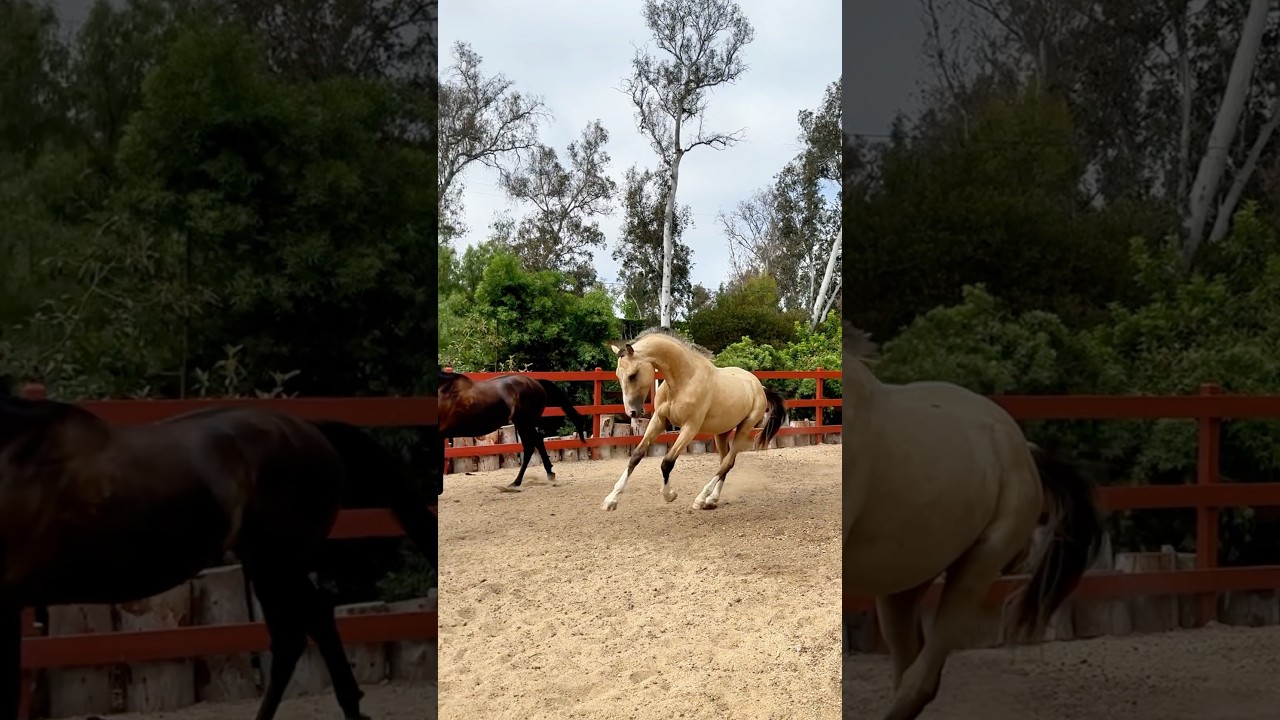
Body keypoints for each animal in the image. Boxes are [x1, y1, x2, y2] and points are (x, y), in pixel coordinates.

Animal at [437, 370, 590, 492]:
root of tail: (535, 382)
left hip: (524, 423)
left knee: (530, 447)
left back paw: (517, 482)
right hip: (524, 424)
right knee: (537, 442)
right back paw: (548, 474)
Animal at [601, 327, 787, 512]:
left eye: (632, 375)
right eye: (618, 374)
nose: (632, 412)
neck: (683, 380)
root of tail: (759, 387)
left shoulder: (690, 427)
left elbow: (667, 462)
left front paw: (669, 495)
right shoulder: (659, 420)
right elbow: (637, 455)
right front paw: (610, 500)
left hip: (745, 428)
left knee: (727, 462)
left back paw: (701, 498)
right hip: (722, 432)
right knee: (726, 462)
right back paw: (712, 499)